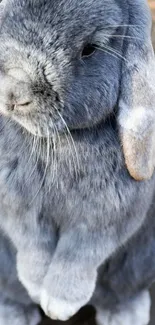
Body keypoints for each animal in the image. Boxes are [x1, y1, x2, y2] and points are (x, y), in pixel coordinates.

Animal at [0, 0, 155, 324]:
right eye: (6, 18)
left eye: (90, 49)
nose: (14, 94)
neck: (60, 140)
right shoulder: (18, 209)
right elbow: (32, 244)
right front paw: (36, 287)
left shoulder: (105, 219)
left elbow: (78, 254)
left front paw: (59, 304)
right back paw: (15, 313)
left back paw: (126, 314)